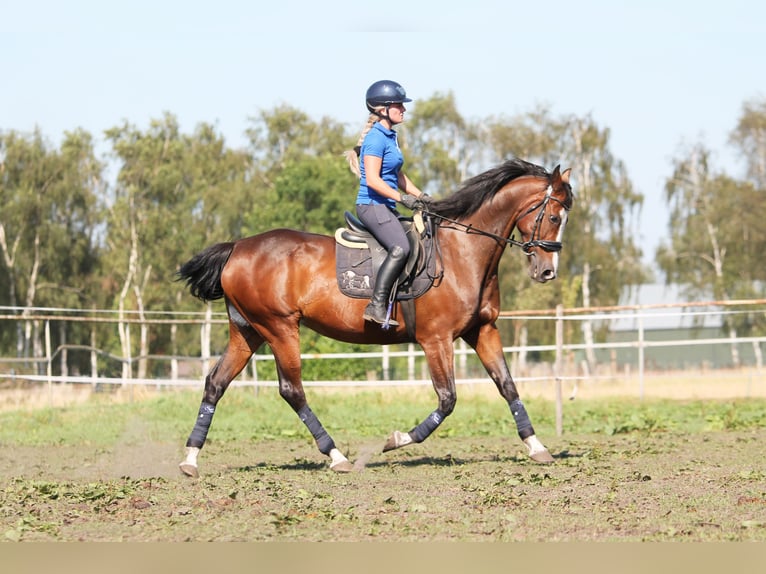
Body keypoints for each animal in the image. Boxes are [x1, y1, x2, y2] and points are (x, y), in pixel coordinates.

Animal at [177, 158, 572, 476]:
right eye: (554, 216)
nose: (547, 272)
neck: (463, 252)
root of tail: (237, 248)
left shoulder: (483, 331)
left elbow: (508, 386)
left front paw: (537, 447)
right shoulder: (436, 339)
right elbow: (447, 399)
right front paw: (396, 440)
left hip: (248, 331)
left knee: (216, 382)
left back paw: (190, 459)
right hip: (279, 328)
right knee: (292, 390)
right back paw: (336, 456)